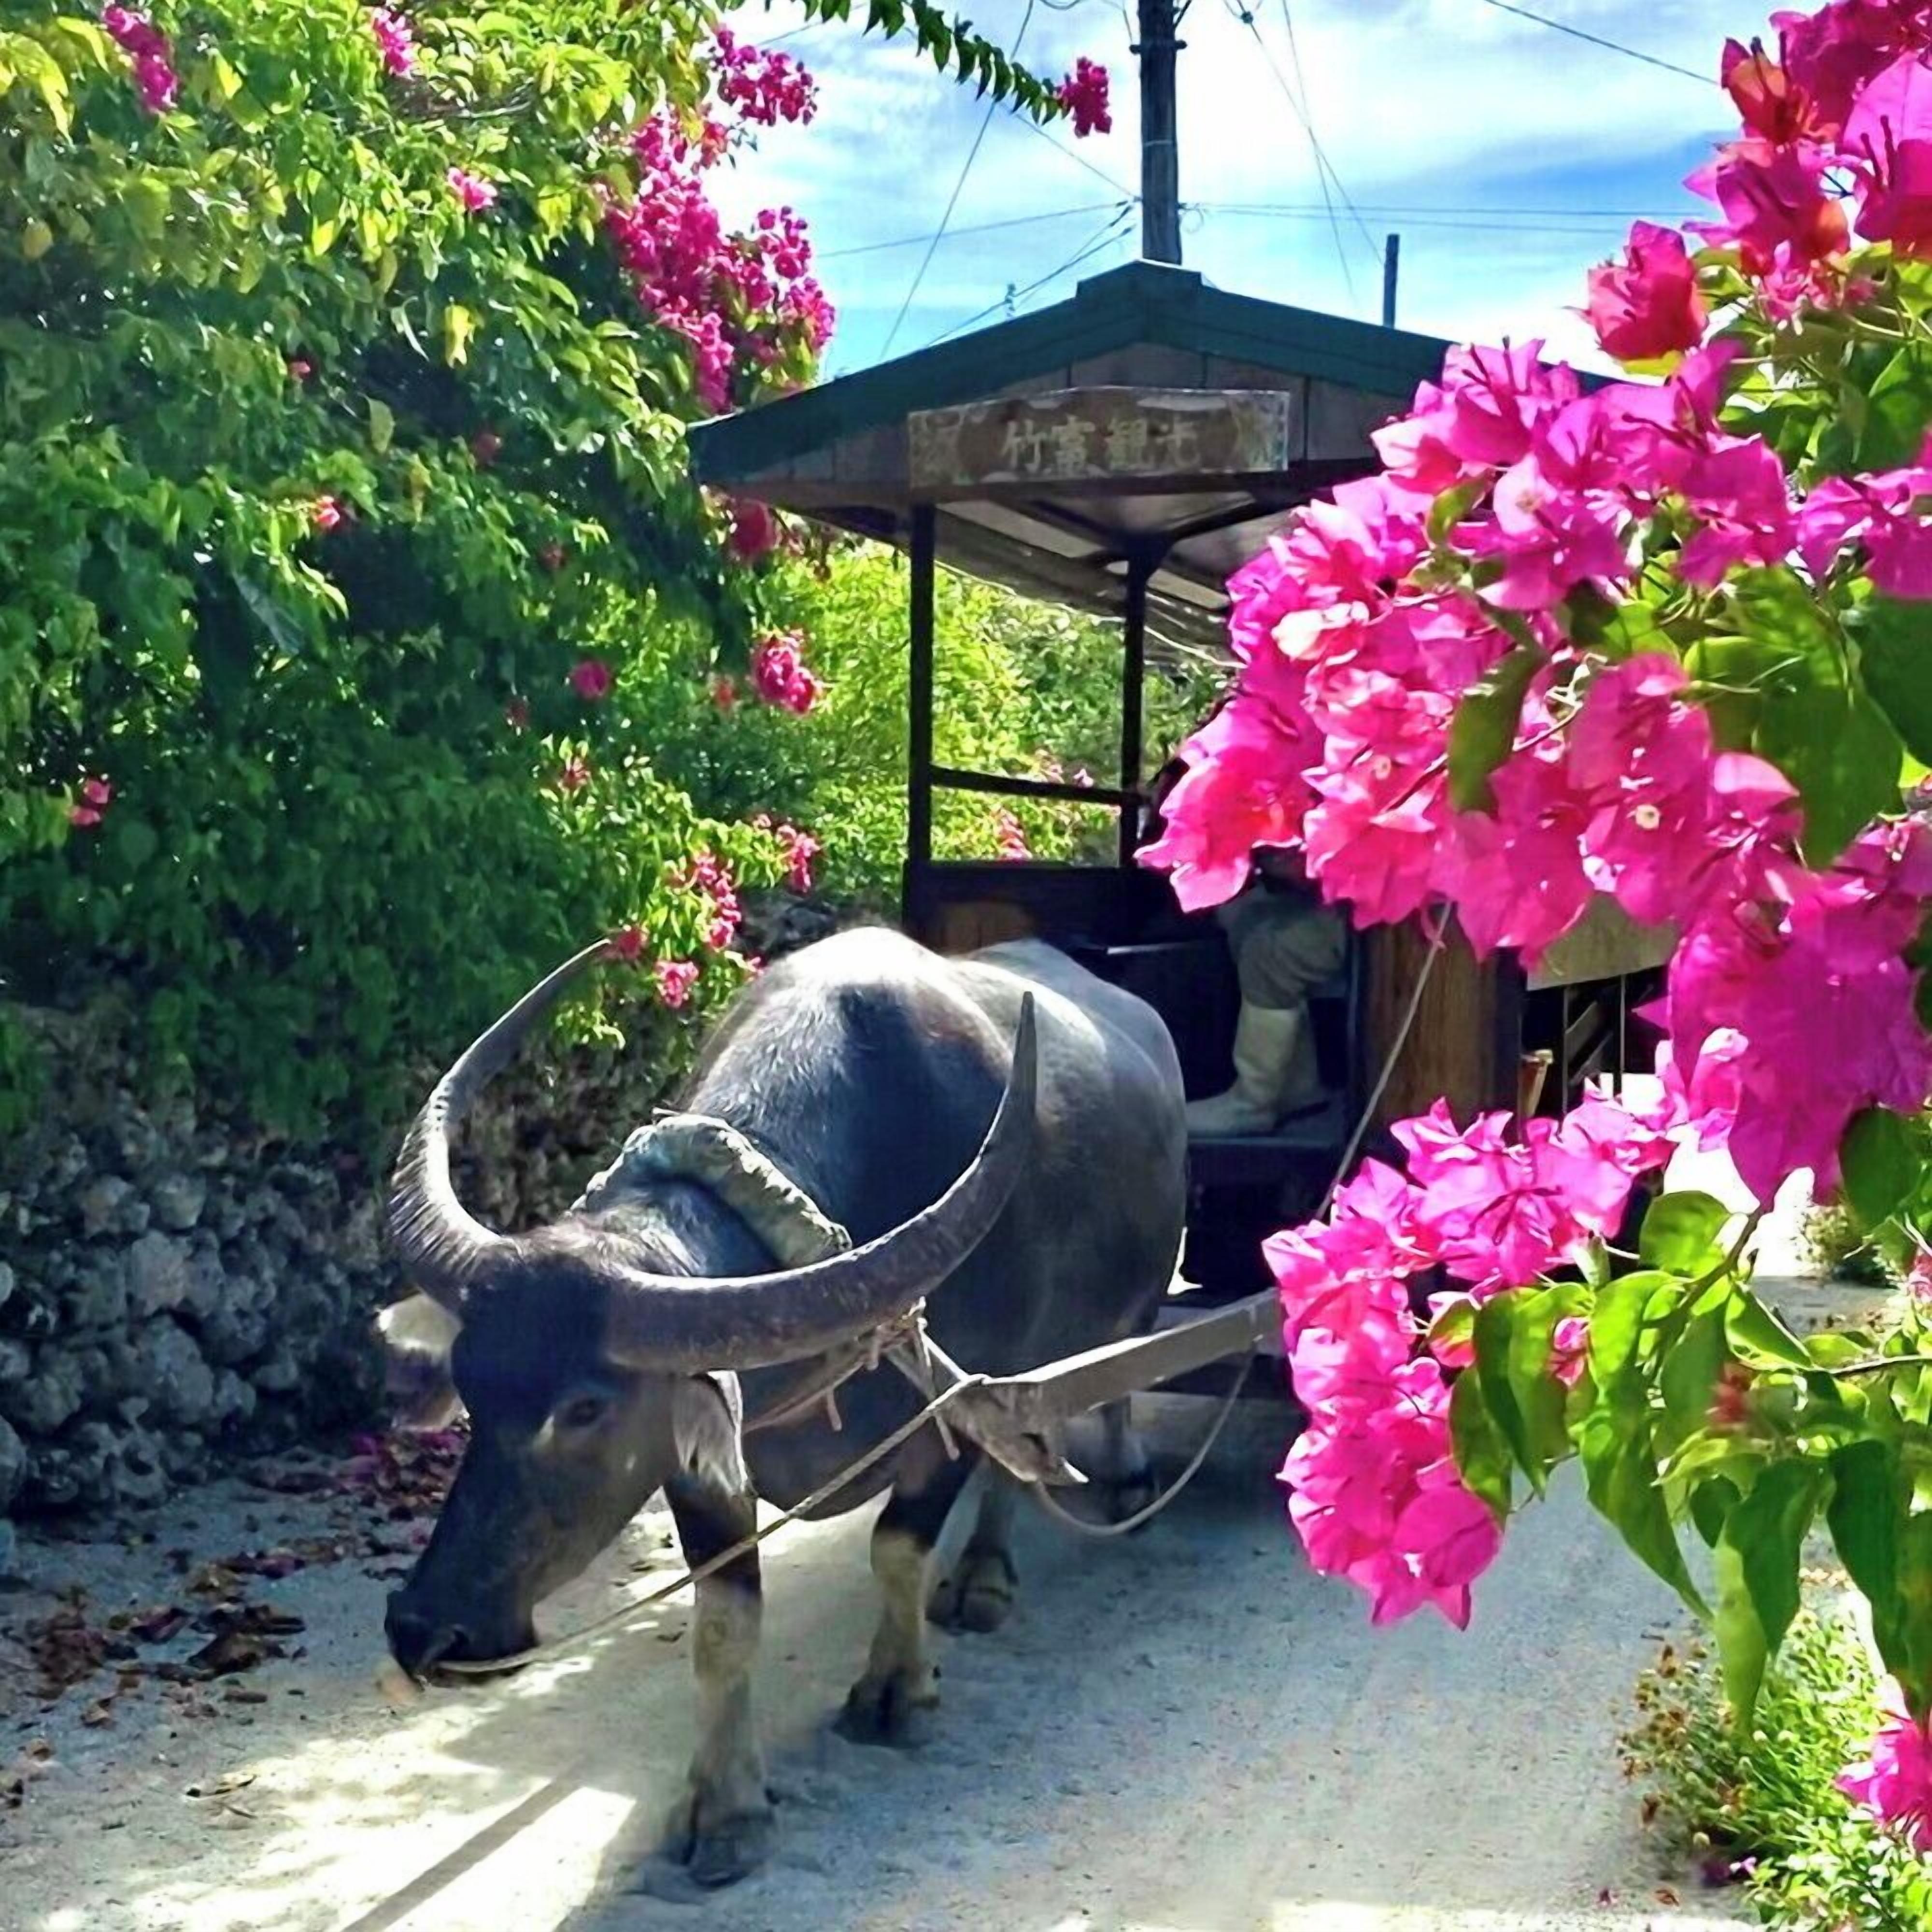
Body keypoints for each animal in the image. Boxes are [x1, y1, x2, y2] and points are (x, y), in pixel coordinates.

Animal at [378, 926, 1187, 1885]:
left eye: (584, 1410)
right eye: (471, 1386)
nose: (422, 1631)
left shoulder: (950, 1410)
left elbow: (898, 1551)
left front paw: (896, 1693)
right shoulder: (707, 1472)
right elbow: (725, 1626)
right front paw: (727, 1806)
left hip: (1114, 1315)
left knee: (1084, 1405)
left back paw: (1068, 1518)